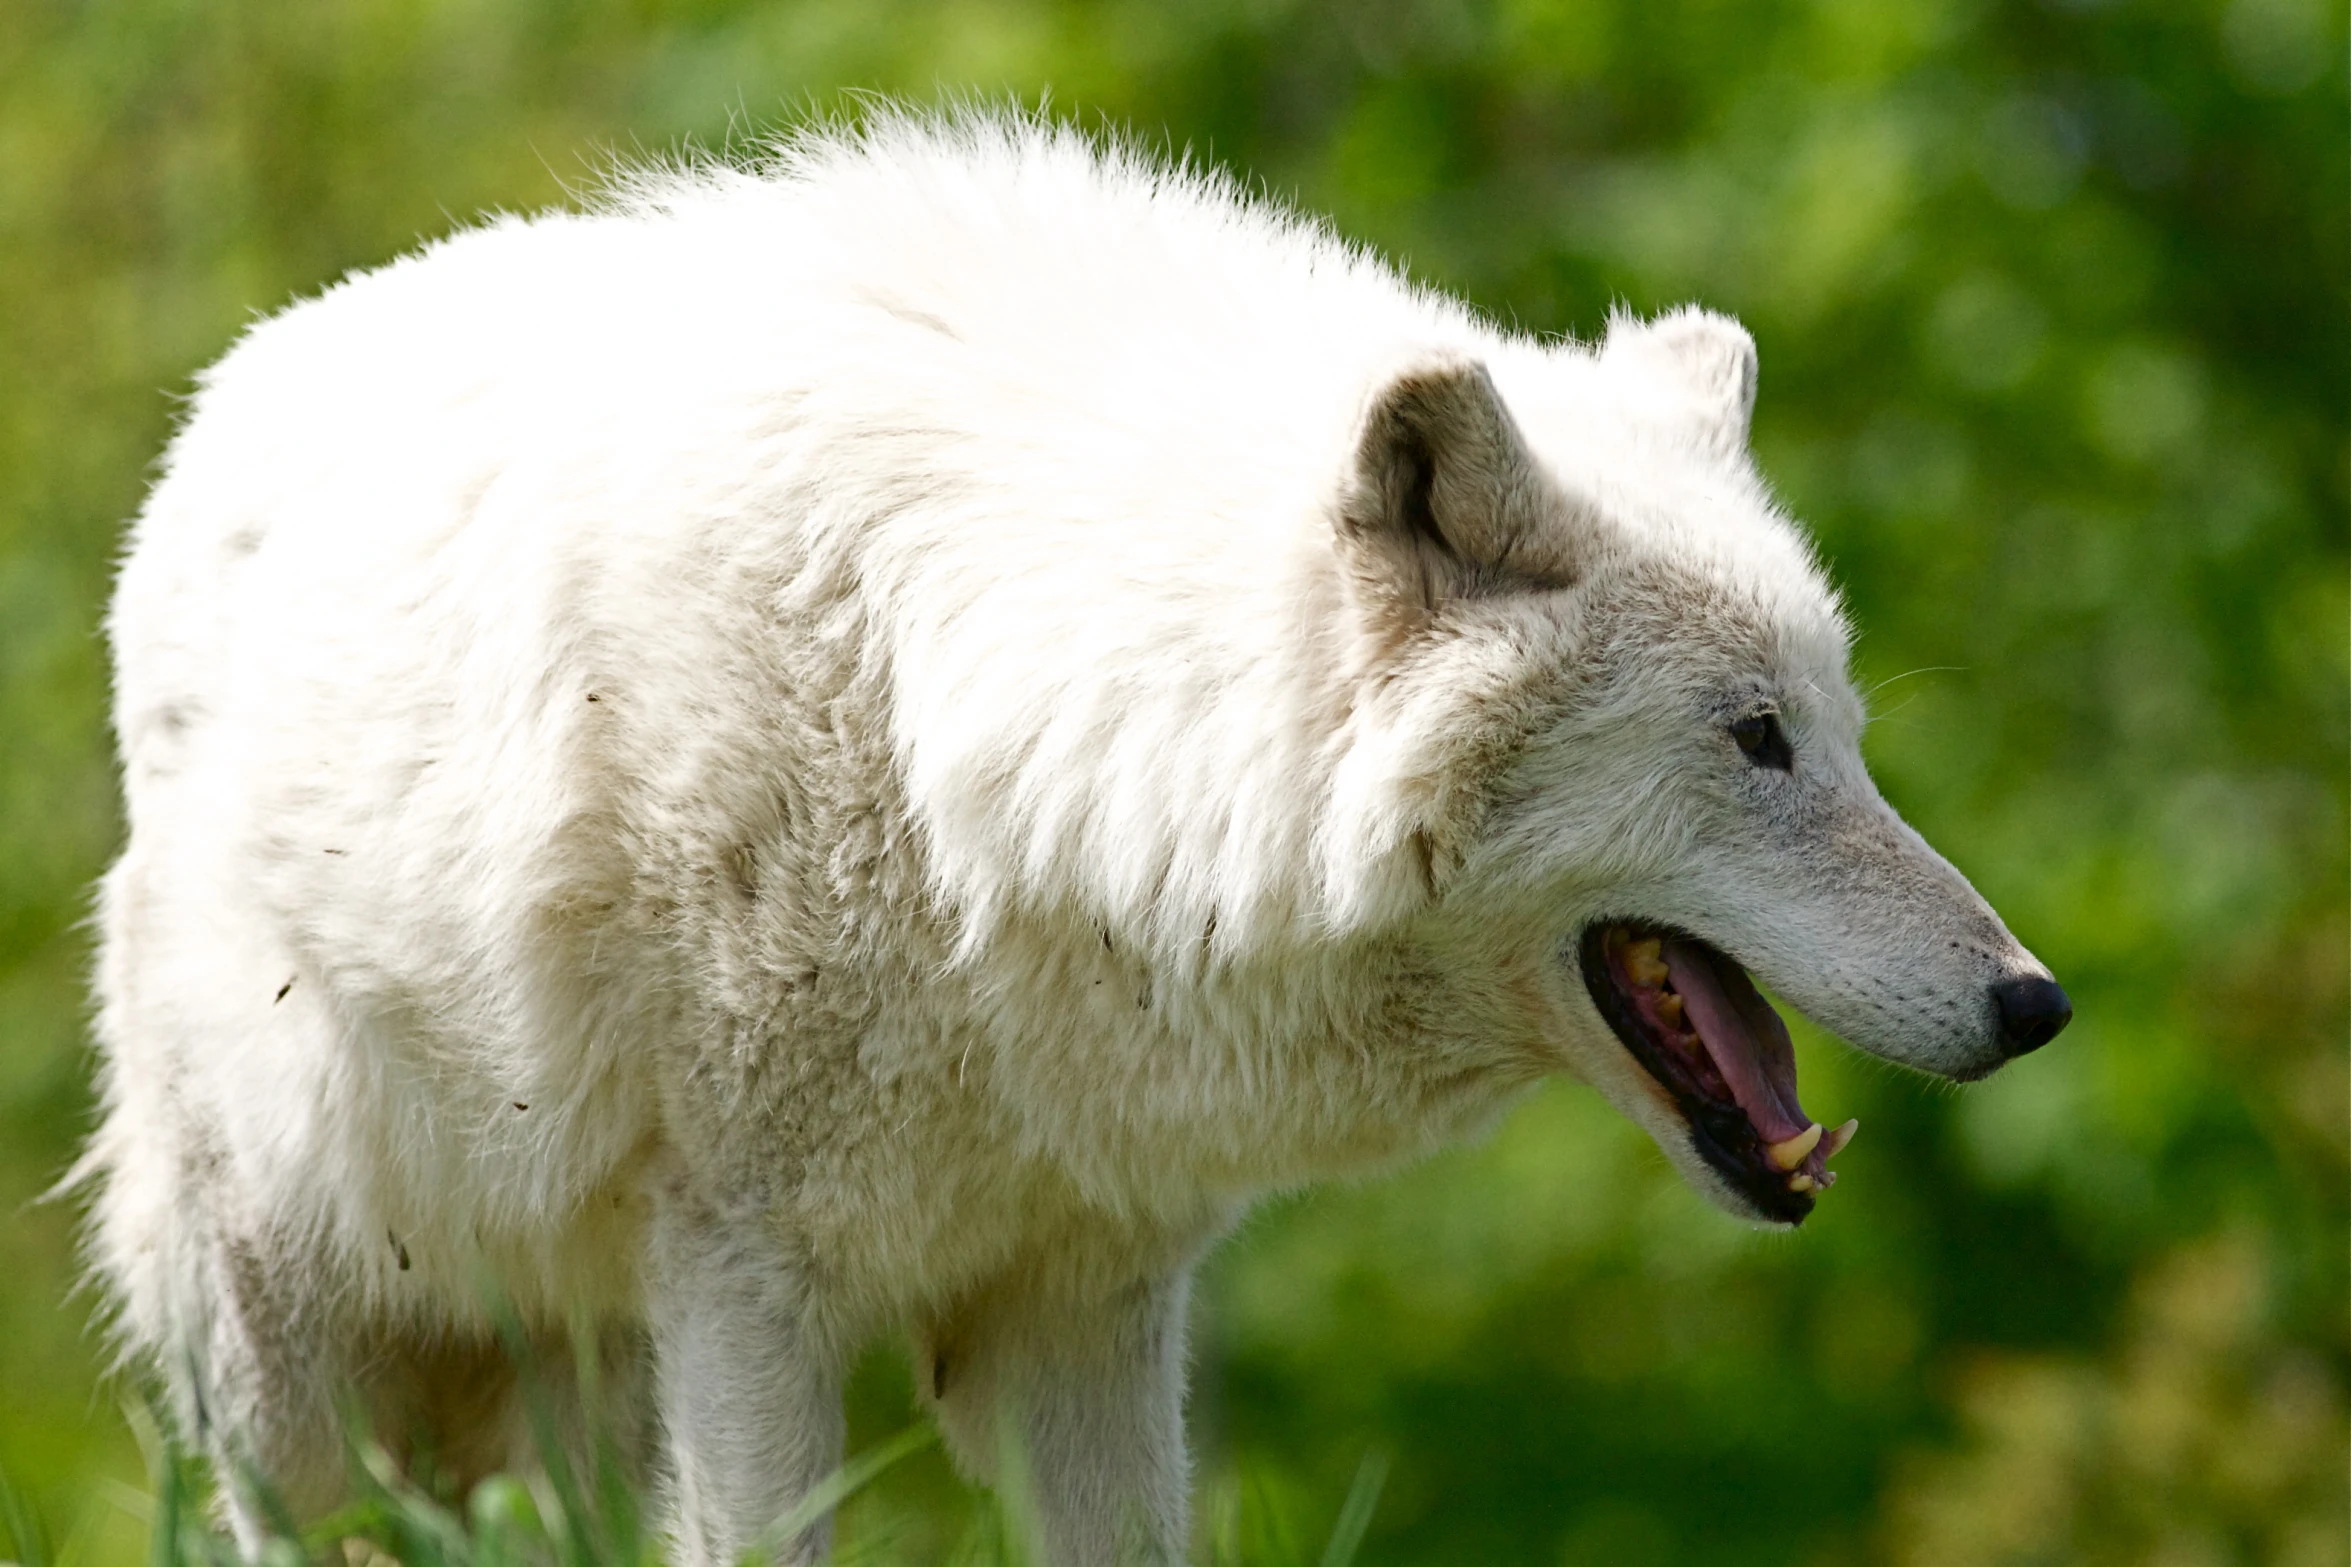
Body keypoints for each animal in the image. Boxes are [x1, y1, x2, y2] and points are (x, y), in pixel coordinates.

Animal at [78, 113, 2059, 1567]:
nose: (2033, 1002)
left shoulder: (1090, 1292)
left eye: (1847, 736)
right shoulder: (741, 1283)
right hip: (296, 1343)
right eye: (1752, 739)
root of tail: (206, 422)